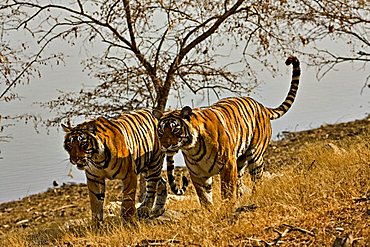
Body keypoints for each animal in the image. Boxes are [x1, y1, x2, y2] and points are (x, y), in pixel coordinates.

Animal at [153, 56, 300, 208]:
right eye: (161, 131)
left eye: (175, 129)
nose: (165, 146)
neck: (192, 149)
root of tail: (261, 106)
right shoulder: (198, 174)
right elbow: (204, 197)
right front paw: (210, 211)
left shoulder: (228, 164)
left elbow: (227, 191)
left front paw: (226, 207)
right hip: (239, 160)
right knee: (240, 182)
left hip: (255, 155)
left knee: (257, 180)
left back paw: (254, 198)